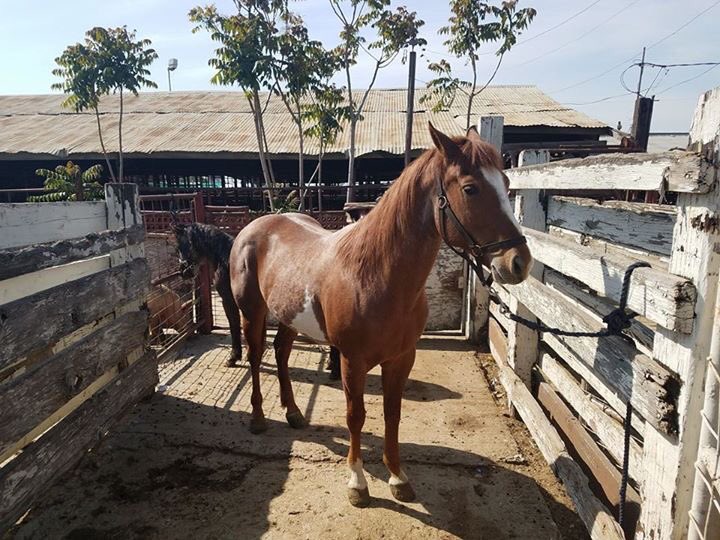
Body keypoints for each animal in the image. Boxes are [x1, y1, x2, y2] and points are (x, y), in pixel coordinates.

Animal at [174, 123, 532, 508]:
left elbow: (392, 413)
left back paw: (293, 412)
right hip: (252, 312)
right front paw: (358, 483)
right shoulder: (351, 360)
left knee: (281, 355)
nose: (519, 263)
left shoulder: (401, 358)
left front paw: (398, 477)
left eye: (506, 184)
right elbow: (355, 415)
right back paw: (258, 418)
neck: (374, 276)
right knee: (256, 358)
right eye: (470, 188)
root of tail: (252, 229)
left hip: (288, 316)